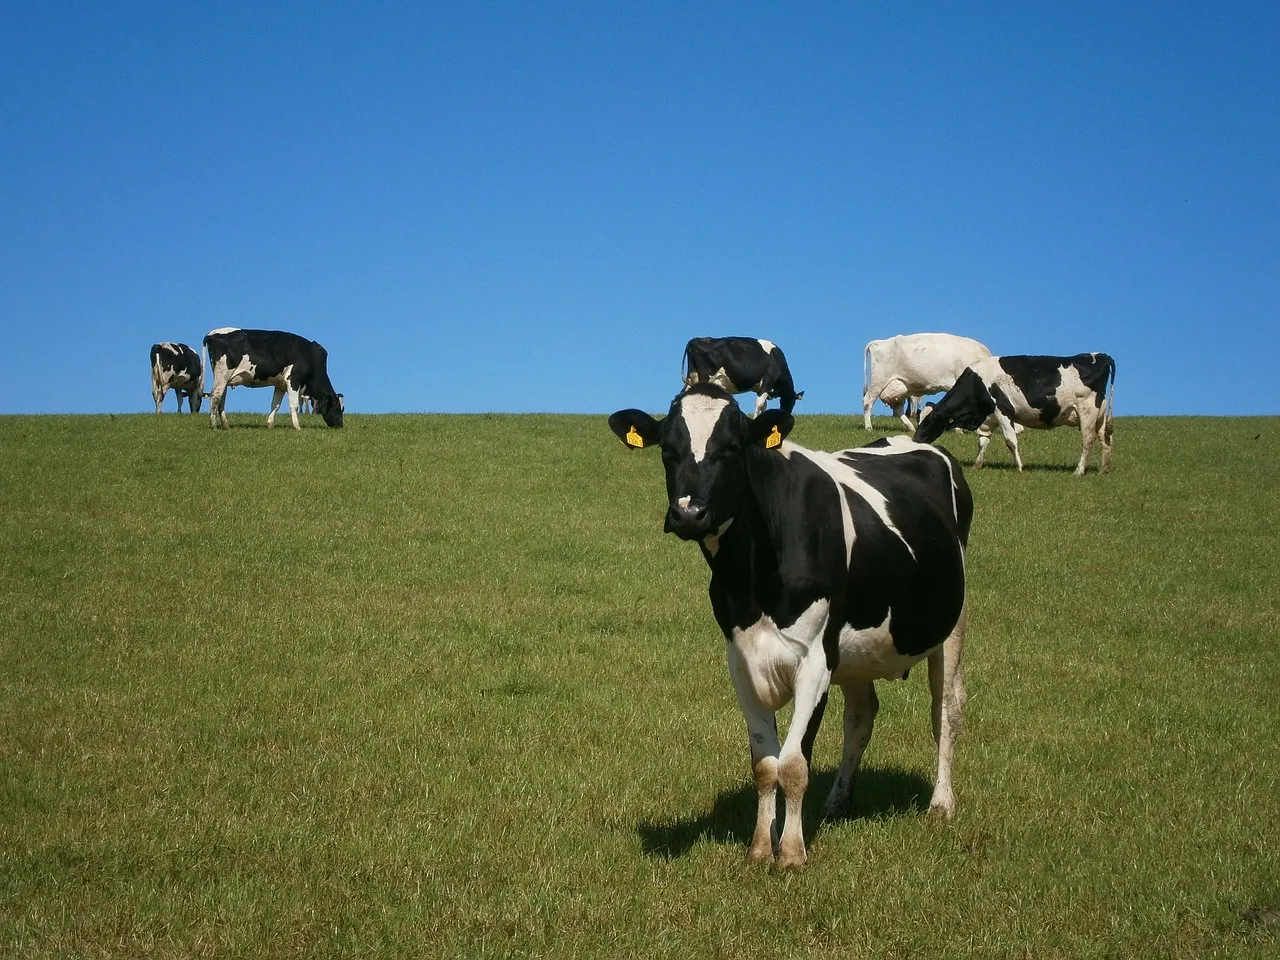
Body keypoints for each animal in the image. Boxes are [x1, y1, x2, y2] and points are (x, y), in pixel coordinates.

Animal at [202, 328, 344, 430]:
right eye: (337, 408)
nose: (340, 426)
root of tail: (211, 334)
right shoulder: (293, 379)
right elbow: (294, 405)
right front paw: (297, 427)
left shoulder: (280, 384)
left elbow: (275, 404)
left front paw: (270, 424)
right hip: (222, 375)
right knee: (215, 396)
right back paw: (214, 426)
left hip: (224, 378)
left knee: (221, 399)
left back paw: (225, 425)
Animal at [609, 383, 972, 869]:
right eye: (668, 450)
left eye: (732, 449)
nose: (688, 513)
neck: (752, 576)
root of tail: (918, 443)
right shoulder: (742, 660)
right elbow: (765, 764)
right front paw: (762, 846)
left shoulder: (815, 660)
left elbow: (794, 764)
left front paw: (793, 852)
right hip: (854, 650)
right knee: (861, 716)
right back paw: (838, 801)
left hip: (951, 625)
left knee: (946, 709)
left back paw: (941, 804)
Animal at [863, 333, 993, 431]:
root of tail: (878, 342)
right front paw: (959, 430)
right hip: (879, 381)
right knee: (868, 401)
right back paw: (869, 427)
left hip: (899, 386)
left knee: (897, 407)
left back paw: (911, 427)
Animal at [913, 353, 1115, 475]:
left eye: (929, 422)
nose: (915, 440)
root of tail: (1100, 356)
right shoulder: (988, 419)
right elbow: (982, 441)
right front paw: (977, 465)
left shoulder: (1003, 411)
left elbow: (1010, 441)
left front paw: (1019, 467)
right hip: (1100, 415)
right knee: (1105, 440)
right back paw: (1103, 470)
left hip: (1087, 411)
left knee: (1088, 440)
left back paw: (1079, 471)